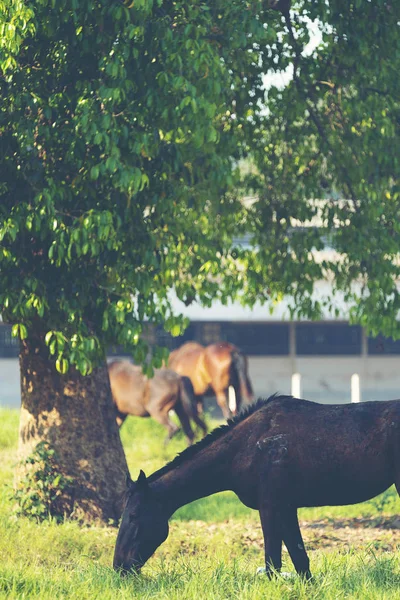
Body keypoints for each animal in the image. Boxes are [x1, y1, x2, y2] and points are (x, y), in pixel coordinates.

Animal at [115, 396, 400, 580]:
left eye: (134, 515)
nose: (119, 567)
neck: (247, 446)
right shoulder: (285, 507)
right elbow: (299, 559)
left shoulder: (270, 506)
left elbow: (273, 561)